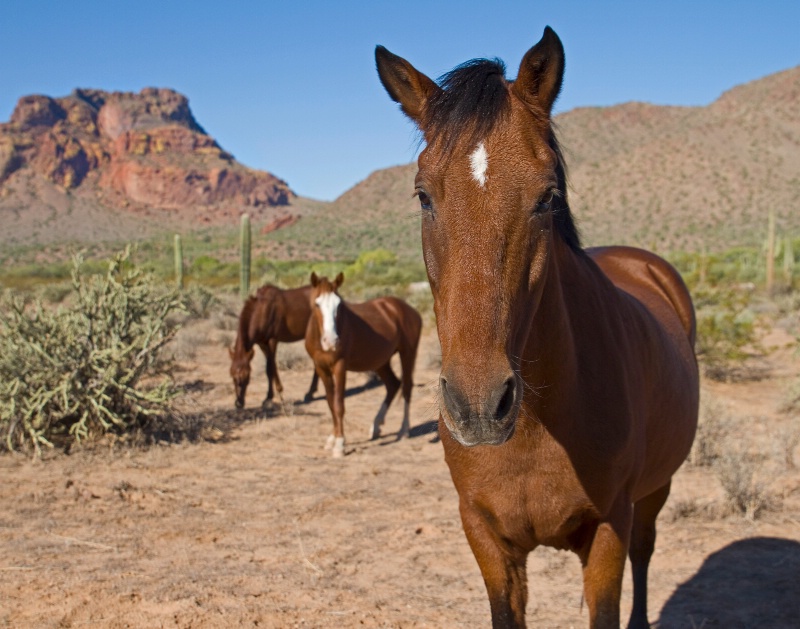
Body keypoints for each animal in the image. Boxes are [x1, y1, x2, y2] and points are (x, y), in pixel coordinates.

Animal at [304, 270, 422, 456]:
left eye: (339, 305)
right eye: (317, 304)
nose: (332, 341)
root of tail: (410, 310)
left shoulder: (340, 366)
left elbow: (338, 404)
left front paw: (339, 444)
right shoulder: (321, 367)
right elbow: (330, 403)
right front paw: (331, 439)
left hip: (407, 354)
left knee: (406, 387)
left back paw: (404, 430)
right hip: (381, 361)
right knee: (393, 384)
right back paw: (376, 426)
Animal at [378, 27, 696, 628]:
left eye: (548, 196)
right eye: (423, 195)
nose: (479, 406)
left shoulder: (609, 531)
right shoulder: (485, 536)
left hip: (655, 491)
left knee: (646, 550)